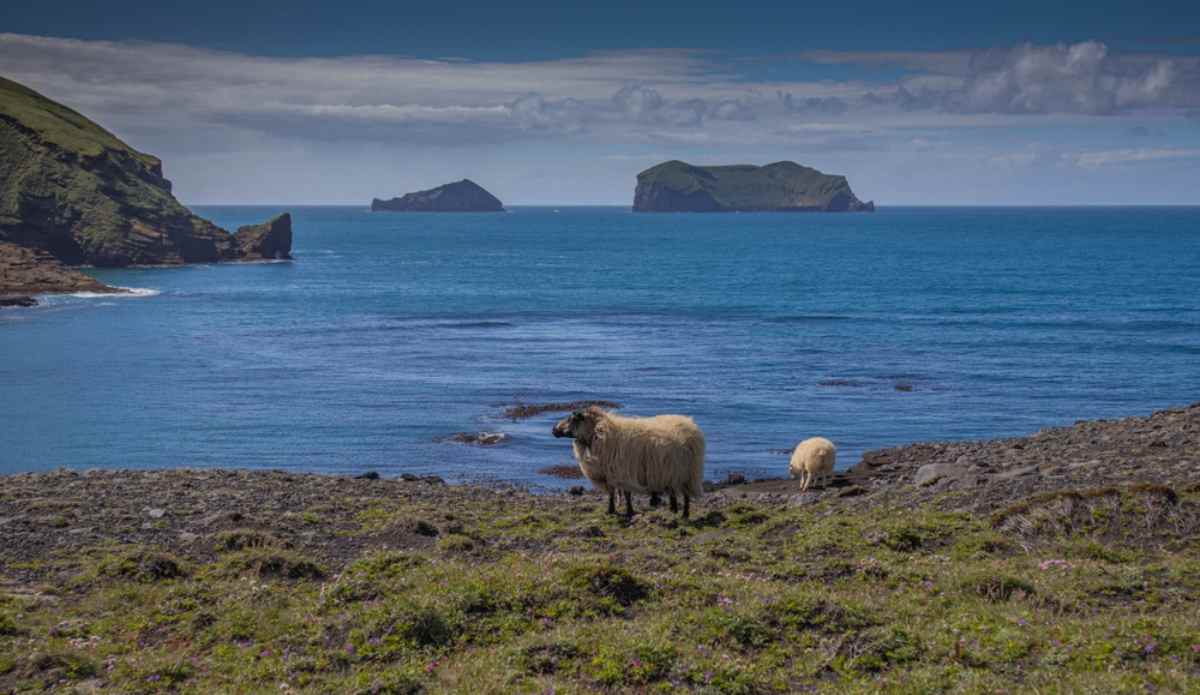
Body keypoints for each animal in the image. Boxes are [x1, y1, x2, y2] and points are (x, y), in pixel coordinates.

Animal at [552, 406, 705, 518]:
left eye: (572, 419)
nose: (554, 430)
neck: (599, 434)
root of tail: (692, 429)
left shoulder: (620, 472)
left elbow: (622, 494)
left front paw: (624, 511)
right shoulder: (611, 473)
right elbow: (614, 493)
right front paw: (615, 510)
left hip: (686, 472)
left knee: (686, 495)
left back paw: (685, 514)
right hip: (677, 471)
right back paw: (674, 510)